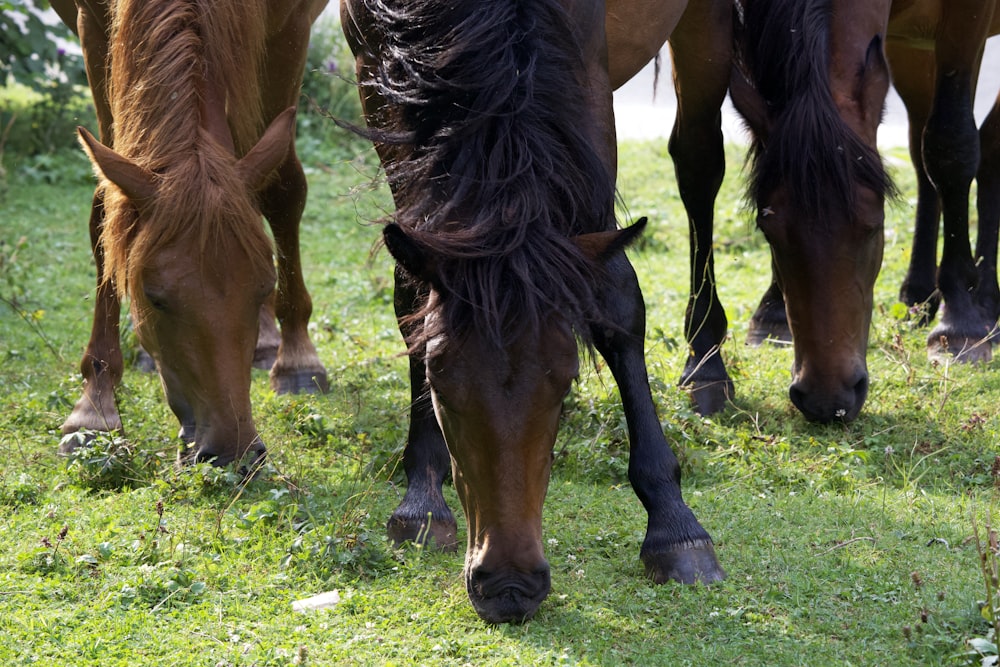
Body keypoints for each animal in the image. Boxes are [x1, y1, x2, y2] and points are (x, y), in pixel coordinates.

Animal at [51, 0, 328, 468]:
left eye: (263, 286)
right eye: (154, 298)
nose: (233, 451)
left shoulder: (291, 28)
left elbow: (281, 188)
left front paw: (297, 361)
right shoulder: (93, 28)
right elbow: (107, 209)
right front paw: (94, 409)